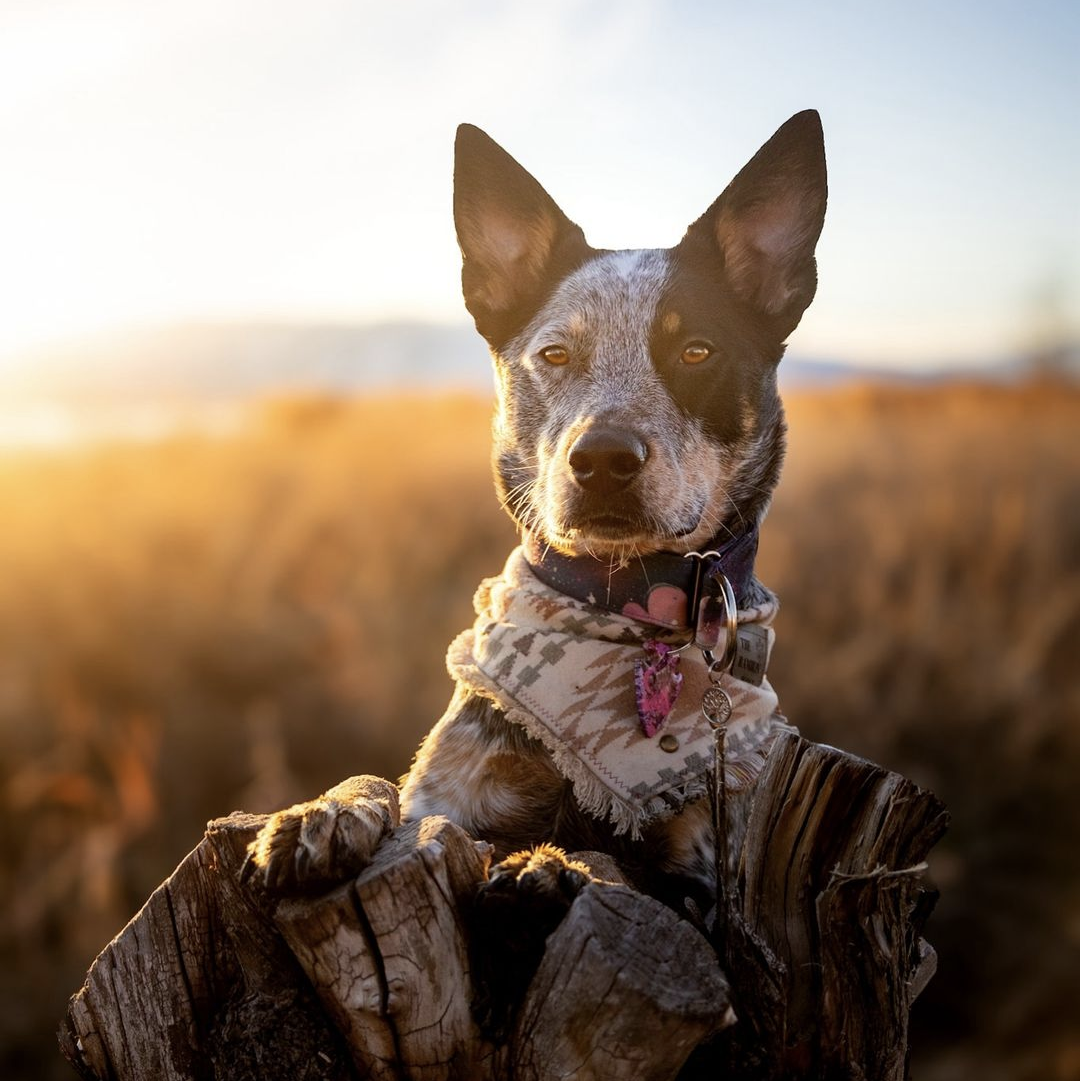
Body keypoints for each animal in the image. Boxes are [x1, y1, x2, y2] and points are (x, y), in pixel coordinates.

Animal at [247, 107, 825, 990]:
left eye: (697, 351)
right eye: (554, 354)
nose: (604, 458)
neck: (627, 601)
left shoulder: (711, 885)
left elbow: (629, 867)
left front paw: (548, 869)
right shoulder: (453, 796)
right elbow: (392, 786)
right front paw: (326, 809)